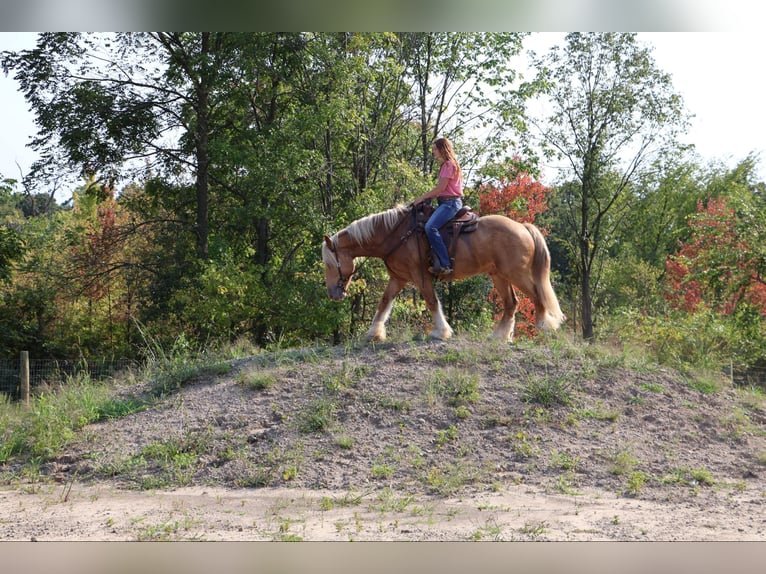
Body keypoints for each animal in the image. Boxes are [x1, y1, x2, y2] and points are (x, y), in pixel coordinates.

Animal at [320, 206, 568, 344]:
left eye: (330, 264)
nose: (333, 294)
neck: (396, 235)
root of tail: (522, 226)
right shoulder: (398, 278)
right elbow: (384, 302)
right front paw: (374, 333)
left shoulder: (420, 275)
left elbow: (431, 301)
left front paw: (441, 332)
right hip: (499, 275)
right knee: (511, 304)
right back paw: (499, 336)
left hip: (516, 273)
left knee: (537, 295)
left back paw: (544, 327)